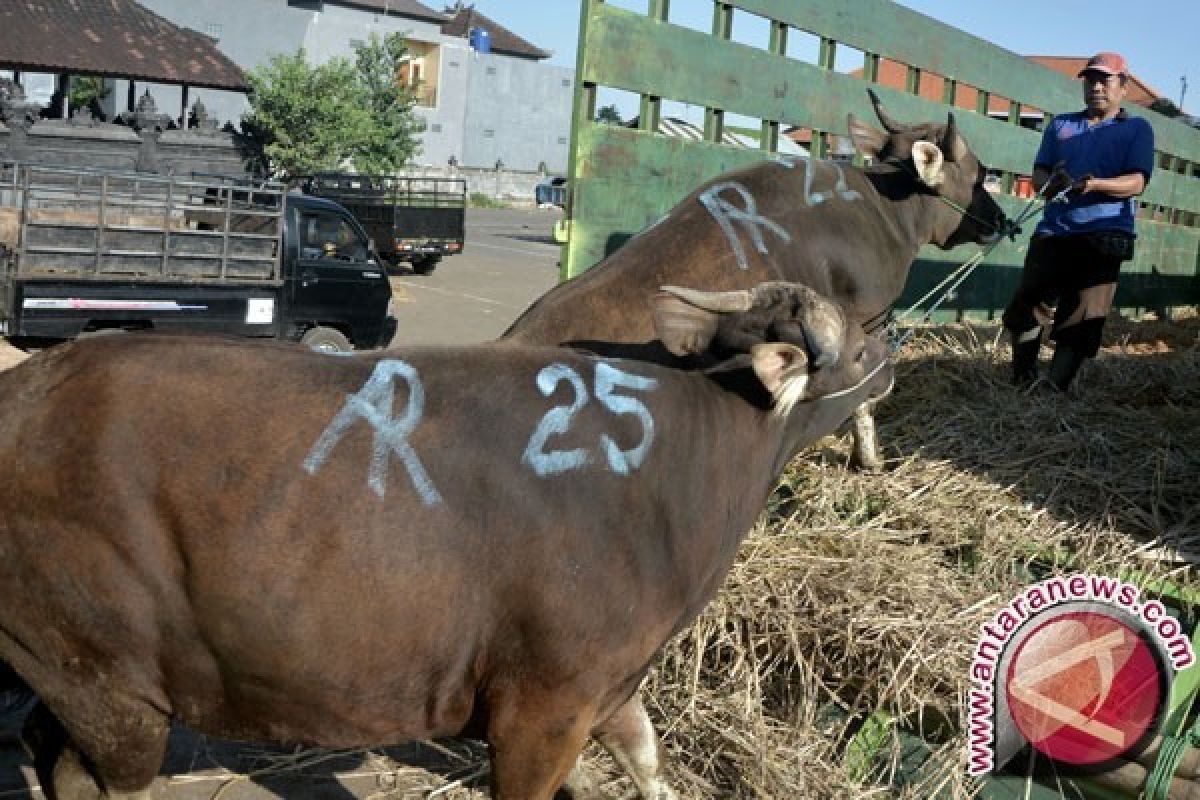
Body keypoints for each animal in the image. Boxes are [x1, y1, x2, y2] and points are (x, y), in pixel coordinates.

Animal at [0, 283, 892, 800]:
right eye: (853, 344)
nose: (892, 349)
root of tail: (27, 386)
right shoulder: (544, 705)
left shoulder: (611, 685)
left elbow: (647, 761)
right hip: (105, 682)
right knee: (88, 774)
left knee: (43, 744)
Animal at [501, 90, 1008, 472]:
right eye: (981, 173)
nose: (1002, 221)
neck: (884, 209)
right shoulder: (869, 318)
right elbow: (865, 396)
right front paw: (870, 461)